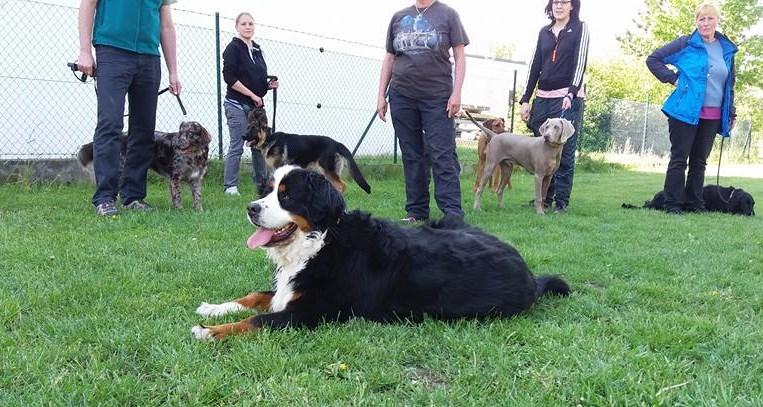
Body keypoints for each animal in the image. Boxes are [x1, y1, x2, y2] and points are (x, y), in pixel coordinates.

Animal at [77, 121, 212, 210]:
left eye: (190, 132)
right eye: (180, 132)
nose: (178, 143)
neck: (194, 155)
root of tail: (120, 135)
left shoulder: (196, 179)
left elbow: (197, 196)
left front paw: (199, 211)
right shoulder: (175, 177)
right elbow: (177, 196)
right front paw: (179, 210)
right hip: (121, 170)